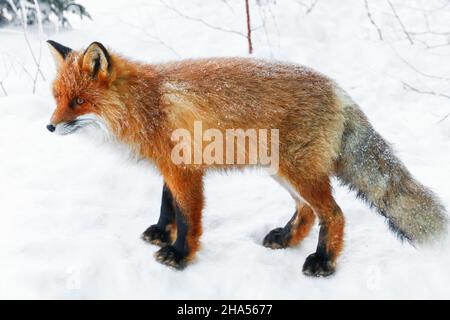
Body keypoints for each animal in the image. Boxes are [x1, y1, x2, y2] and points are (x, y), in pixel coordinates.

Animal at [46, 40, 446, 278]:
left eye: (79, 101)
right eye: (57, 97)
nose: (49, 127)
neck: (147, 104)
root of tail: (339, 90)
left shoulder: (185, 170)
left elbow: (188, 217)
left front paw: (179, 255)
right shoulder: (171, 166)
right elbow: (166, 205)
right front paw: (161, 233)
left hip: (297, 172)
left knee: (334, 214)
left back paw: (323, 261)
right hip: (282, 171)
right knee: (307, 211)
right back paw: (285, 237)